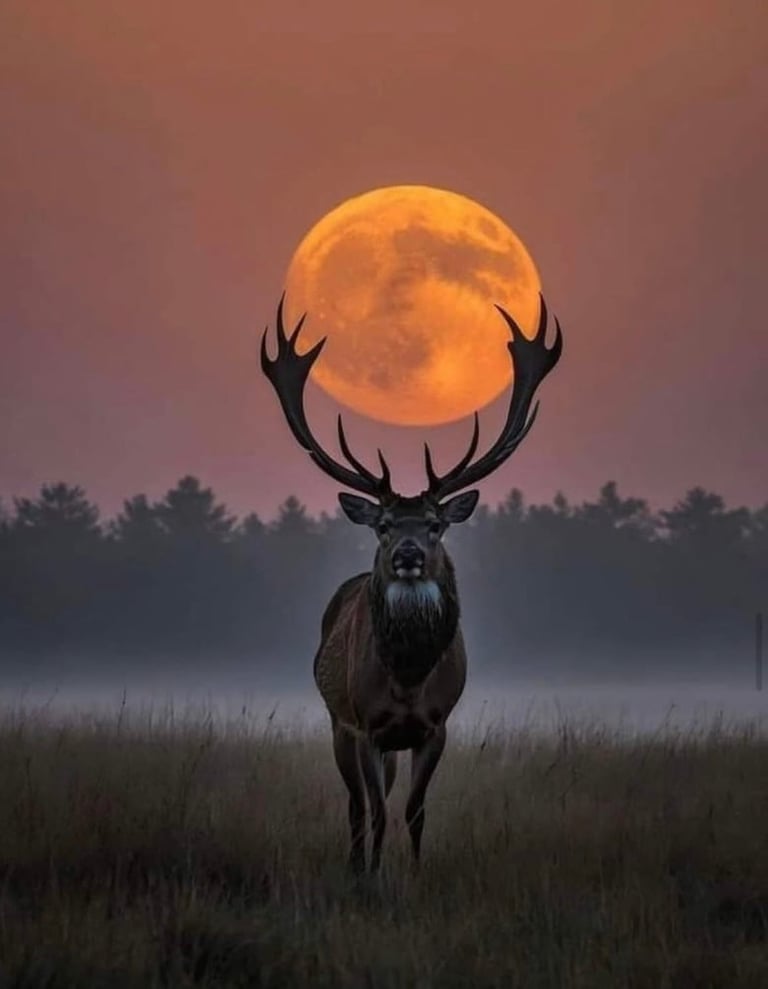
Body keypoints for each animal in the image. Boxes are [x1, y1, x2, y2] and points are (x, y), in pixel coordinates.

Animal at [261, 293, 562, 873]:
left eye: (434, 524)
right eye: (382, 525)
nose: (407, 555)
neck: (406, 678)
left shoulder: (435, 725)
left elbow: (415, 812)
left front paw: (418, 875)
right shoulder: (364, 724)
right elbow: (377, 813)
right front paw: (374, 876)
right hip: (337, 722)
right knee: (356, 807)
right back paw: (356, 865)